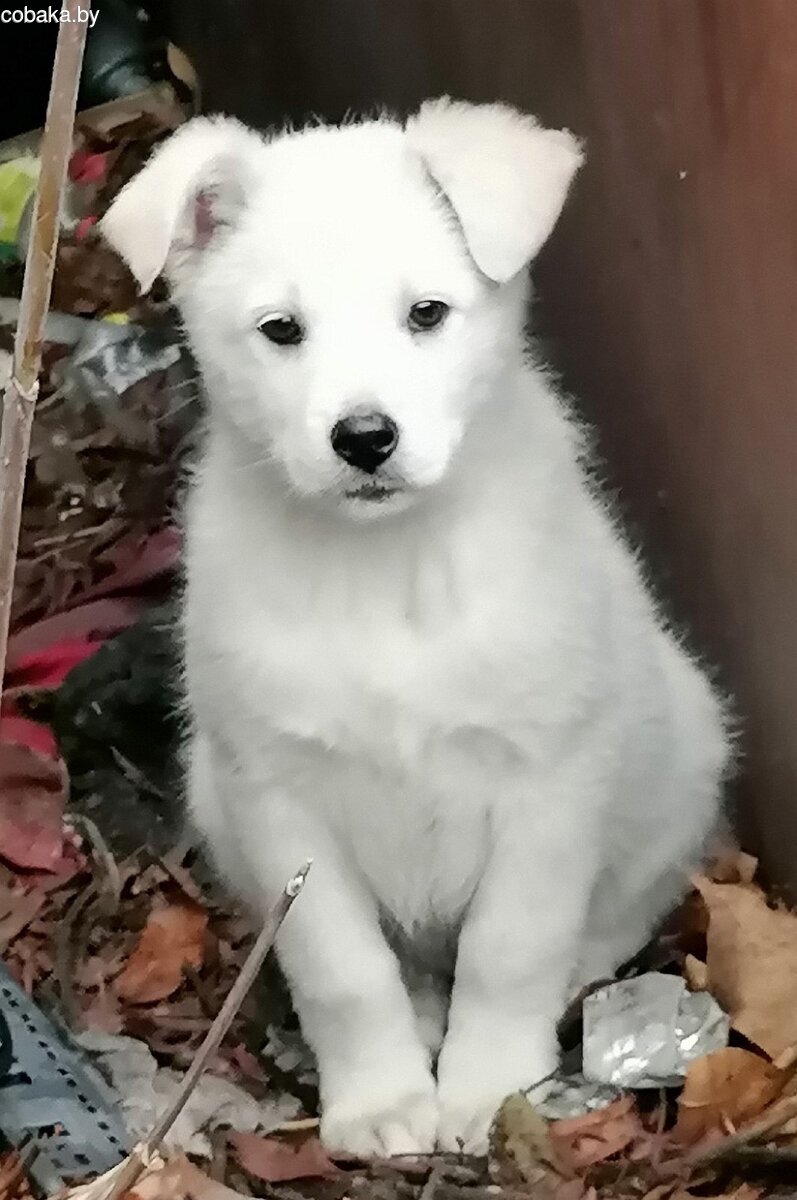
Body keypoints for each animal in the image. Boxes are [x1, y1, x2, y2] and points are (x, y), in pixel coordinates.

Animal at [102, 98, 730, 1157]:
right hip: (214, 799)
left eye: (426, 314)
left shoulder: (547, 783)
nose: (364, 440)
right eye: (281, 330)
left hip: (683, 753)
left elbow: (509, 947)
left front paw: (489, 1086)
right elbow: (343, 972)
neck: (386, 568)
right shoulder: (279, 802)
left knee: (615, 911)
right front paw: (381, 1101)